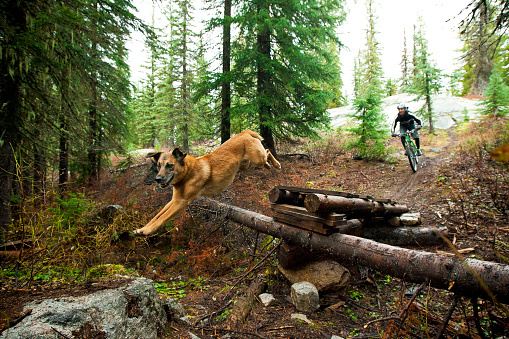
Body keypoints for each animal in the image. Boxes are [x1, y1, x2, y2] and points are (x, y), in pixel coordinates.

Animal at [133, 130, 280, 236]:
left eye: (170, 165)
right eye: (159, 166)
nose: (157, 179)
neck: (187, 172)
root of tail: (244, 132)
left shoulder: (181, 202)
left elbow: (162, 218)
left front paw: (147, 231)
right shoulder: (174, 200)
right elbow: (157, 216)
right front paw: (142, 229)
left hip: (257, 158)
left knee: (267, 151)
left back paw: (276, 164)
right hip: (246, 165)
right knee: (264, 157)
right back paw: (269, 166)